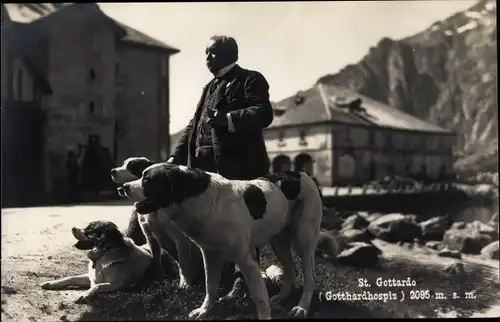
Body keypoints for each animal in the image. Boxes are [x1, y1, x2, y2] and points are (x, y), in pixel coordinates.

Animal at [117, 161, 338, 320]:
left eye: (147, 180)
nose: (122, 188)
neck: (195, 196)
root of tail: (303, 174)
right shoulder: (210, 254)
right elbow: (210, 286)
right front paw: (204, 311)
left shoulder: (247, 258)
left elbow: (259, 297)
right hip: (279, 240)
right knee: (291, 270)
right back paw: (281, 298)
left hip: (304, 239)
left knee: (309, 276)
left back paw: (301, 307)